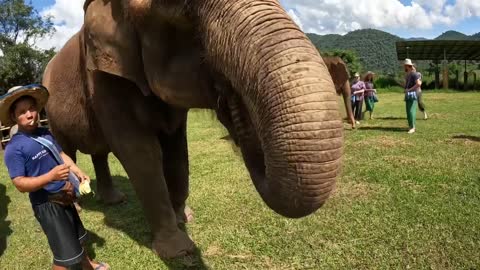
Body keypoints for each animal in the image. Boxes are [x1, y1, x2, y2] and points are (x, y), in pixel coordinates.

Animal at [40, 0, 342, 258]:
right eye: (177, 6)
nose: (230, 98)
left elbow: (176, 147)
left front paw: (185, 217)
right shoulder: (103, 78)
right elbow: (139, 151)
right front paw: (178, 249)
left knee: (100, 152)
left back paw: (115, 201)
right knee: (65, 151)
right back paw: (78, 205)